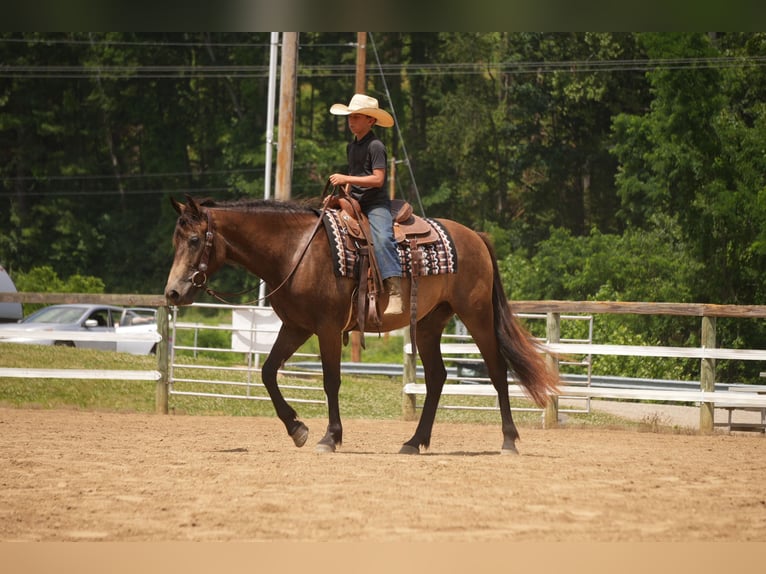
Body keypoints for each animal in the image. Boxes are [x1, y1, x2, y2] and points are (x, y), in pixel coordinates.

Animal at [164, 195, 559, 454]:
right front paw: (297, 428)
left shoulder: (326, 327)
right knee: (436, 378)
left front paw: (330, 437)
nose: (172, 292)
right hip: (429, 324)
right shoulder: (295, 326)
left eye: (195, 240)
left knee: (496, 370)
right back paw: (414, 442)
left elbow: (331, 381)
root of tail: (475, 236)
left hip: (476, 315)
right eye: (175, 240)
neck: (295, 251)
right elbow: (268, 372)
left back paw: (508, 440)